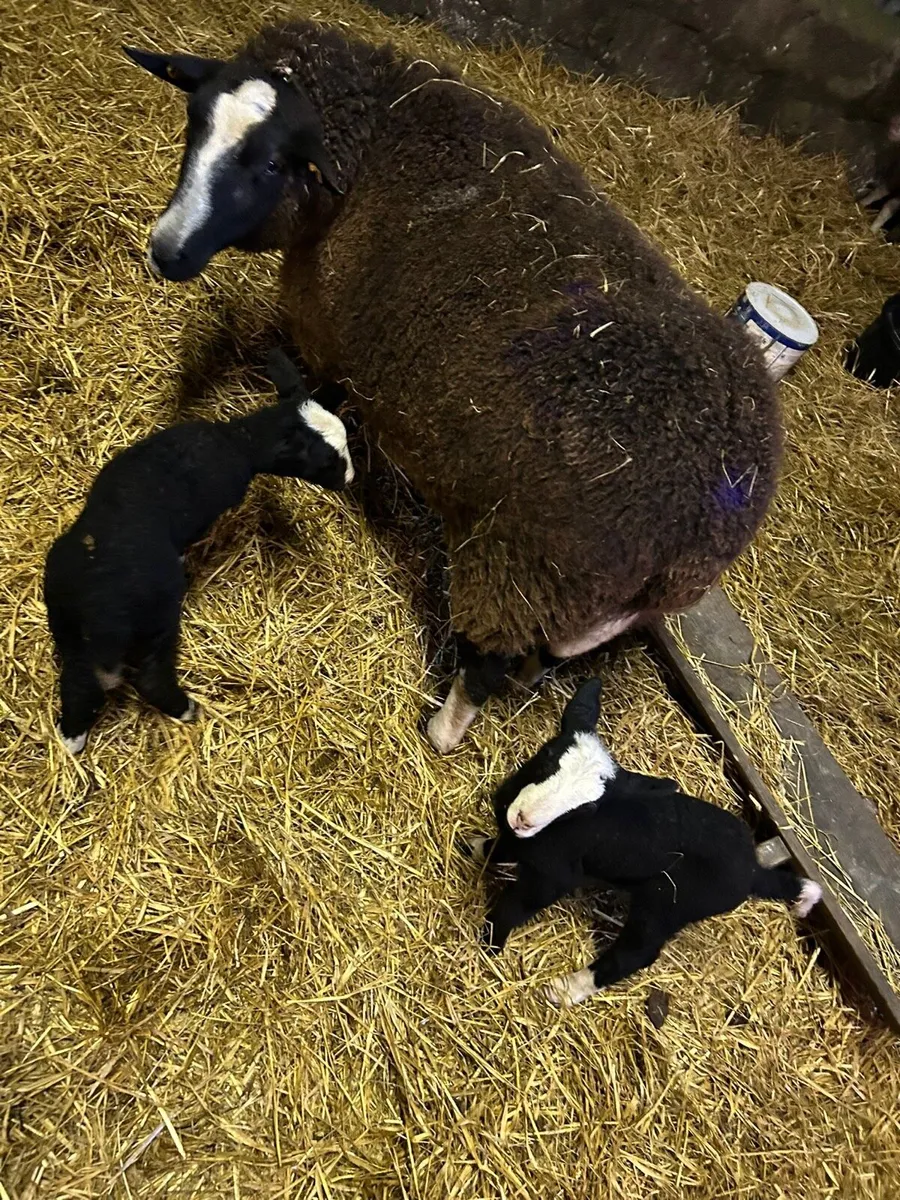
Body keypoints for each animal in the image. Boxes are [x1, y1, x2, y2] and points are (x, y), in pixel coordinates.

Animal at [44, 351, 353, 754]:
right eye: (328, 461)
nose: (349, 481)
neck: (238, 440)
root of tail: (97, 608)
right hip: (156, 617)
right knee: (150, 678)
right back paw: (186, 708)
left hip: (66, 626)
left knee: (77, 681)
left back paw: (71, 738)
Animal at [124, 22, 782, 752]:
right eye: (194, 124)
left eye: (268, 165)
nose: (166, 250)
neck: (378, 139)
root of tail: (706, 522)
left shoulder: (333, 337)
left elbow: (324, 395)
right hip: (578, 596)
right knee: (537, 655)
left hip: (522, 570)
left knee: (485, 666)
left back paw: (441, 730)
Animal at [468, 679, 822, 1007]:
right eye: (548, 755)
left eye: (588, 809)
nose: (523, 818)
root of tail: (751, 872)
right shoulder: (518, 838)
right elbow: (499, 848)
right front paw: (475, 847)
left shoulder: (553, 876)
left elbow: (514, 908)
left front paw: (489, 944)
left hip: (667, 903)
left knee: (637, 952)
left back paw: (567, 989)